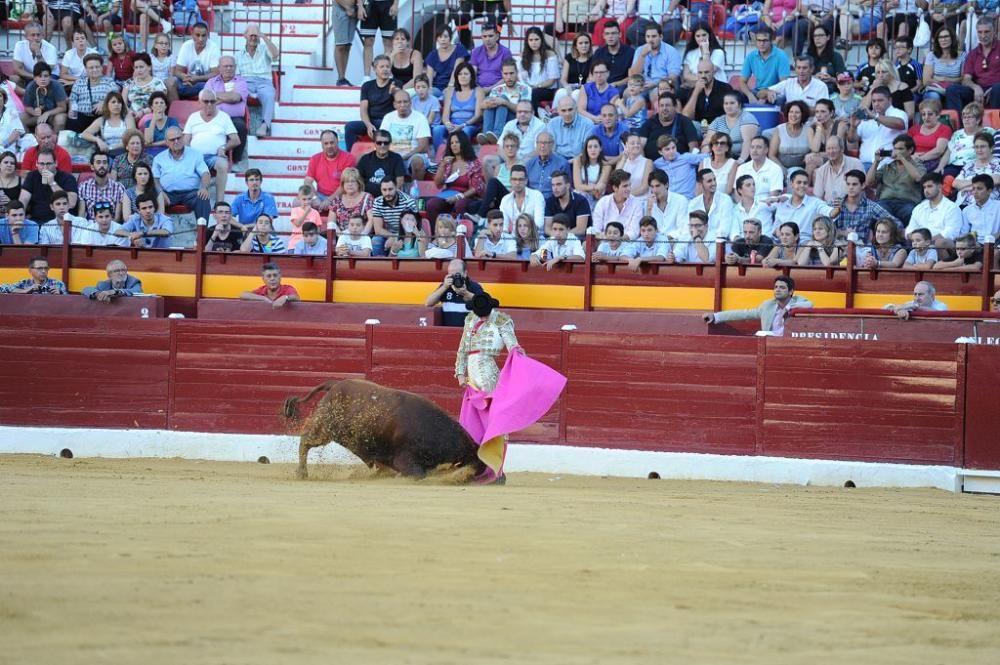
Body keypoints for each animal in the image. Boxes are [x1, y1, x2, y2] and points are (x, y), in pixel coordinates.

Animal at [282, 376, 488, 480]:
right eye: (473, 456)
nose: (482, 469)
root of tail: (335, 384)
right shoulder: (405, 457)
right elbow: (418, 474)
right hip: (324, 428)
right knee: (305, 441)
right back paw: (302, 473)